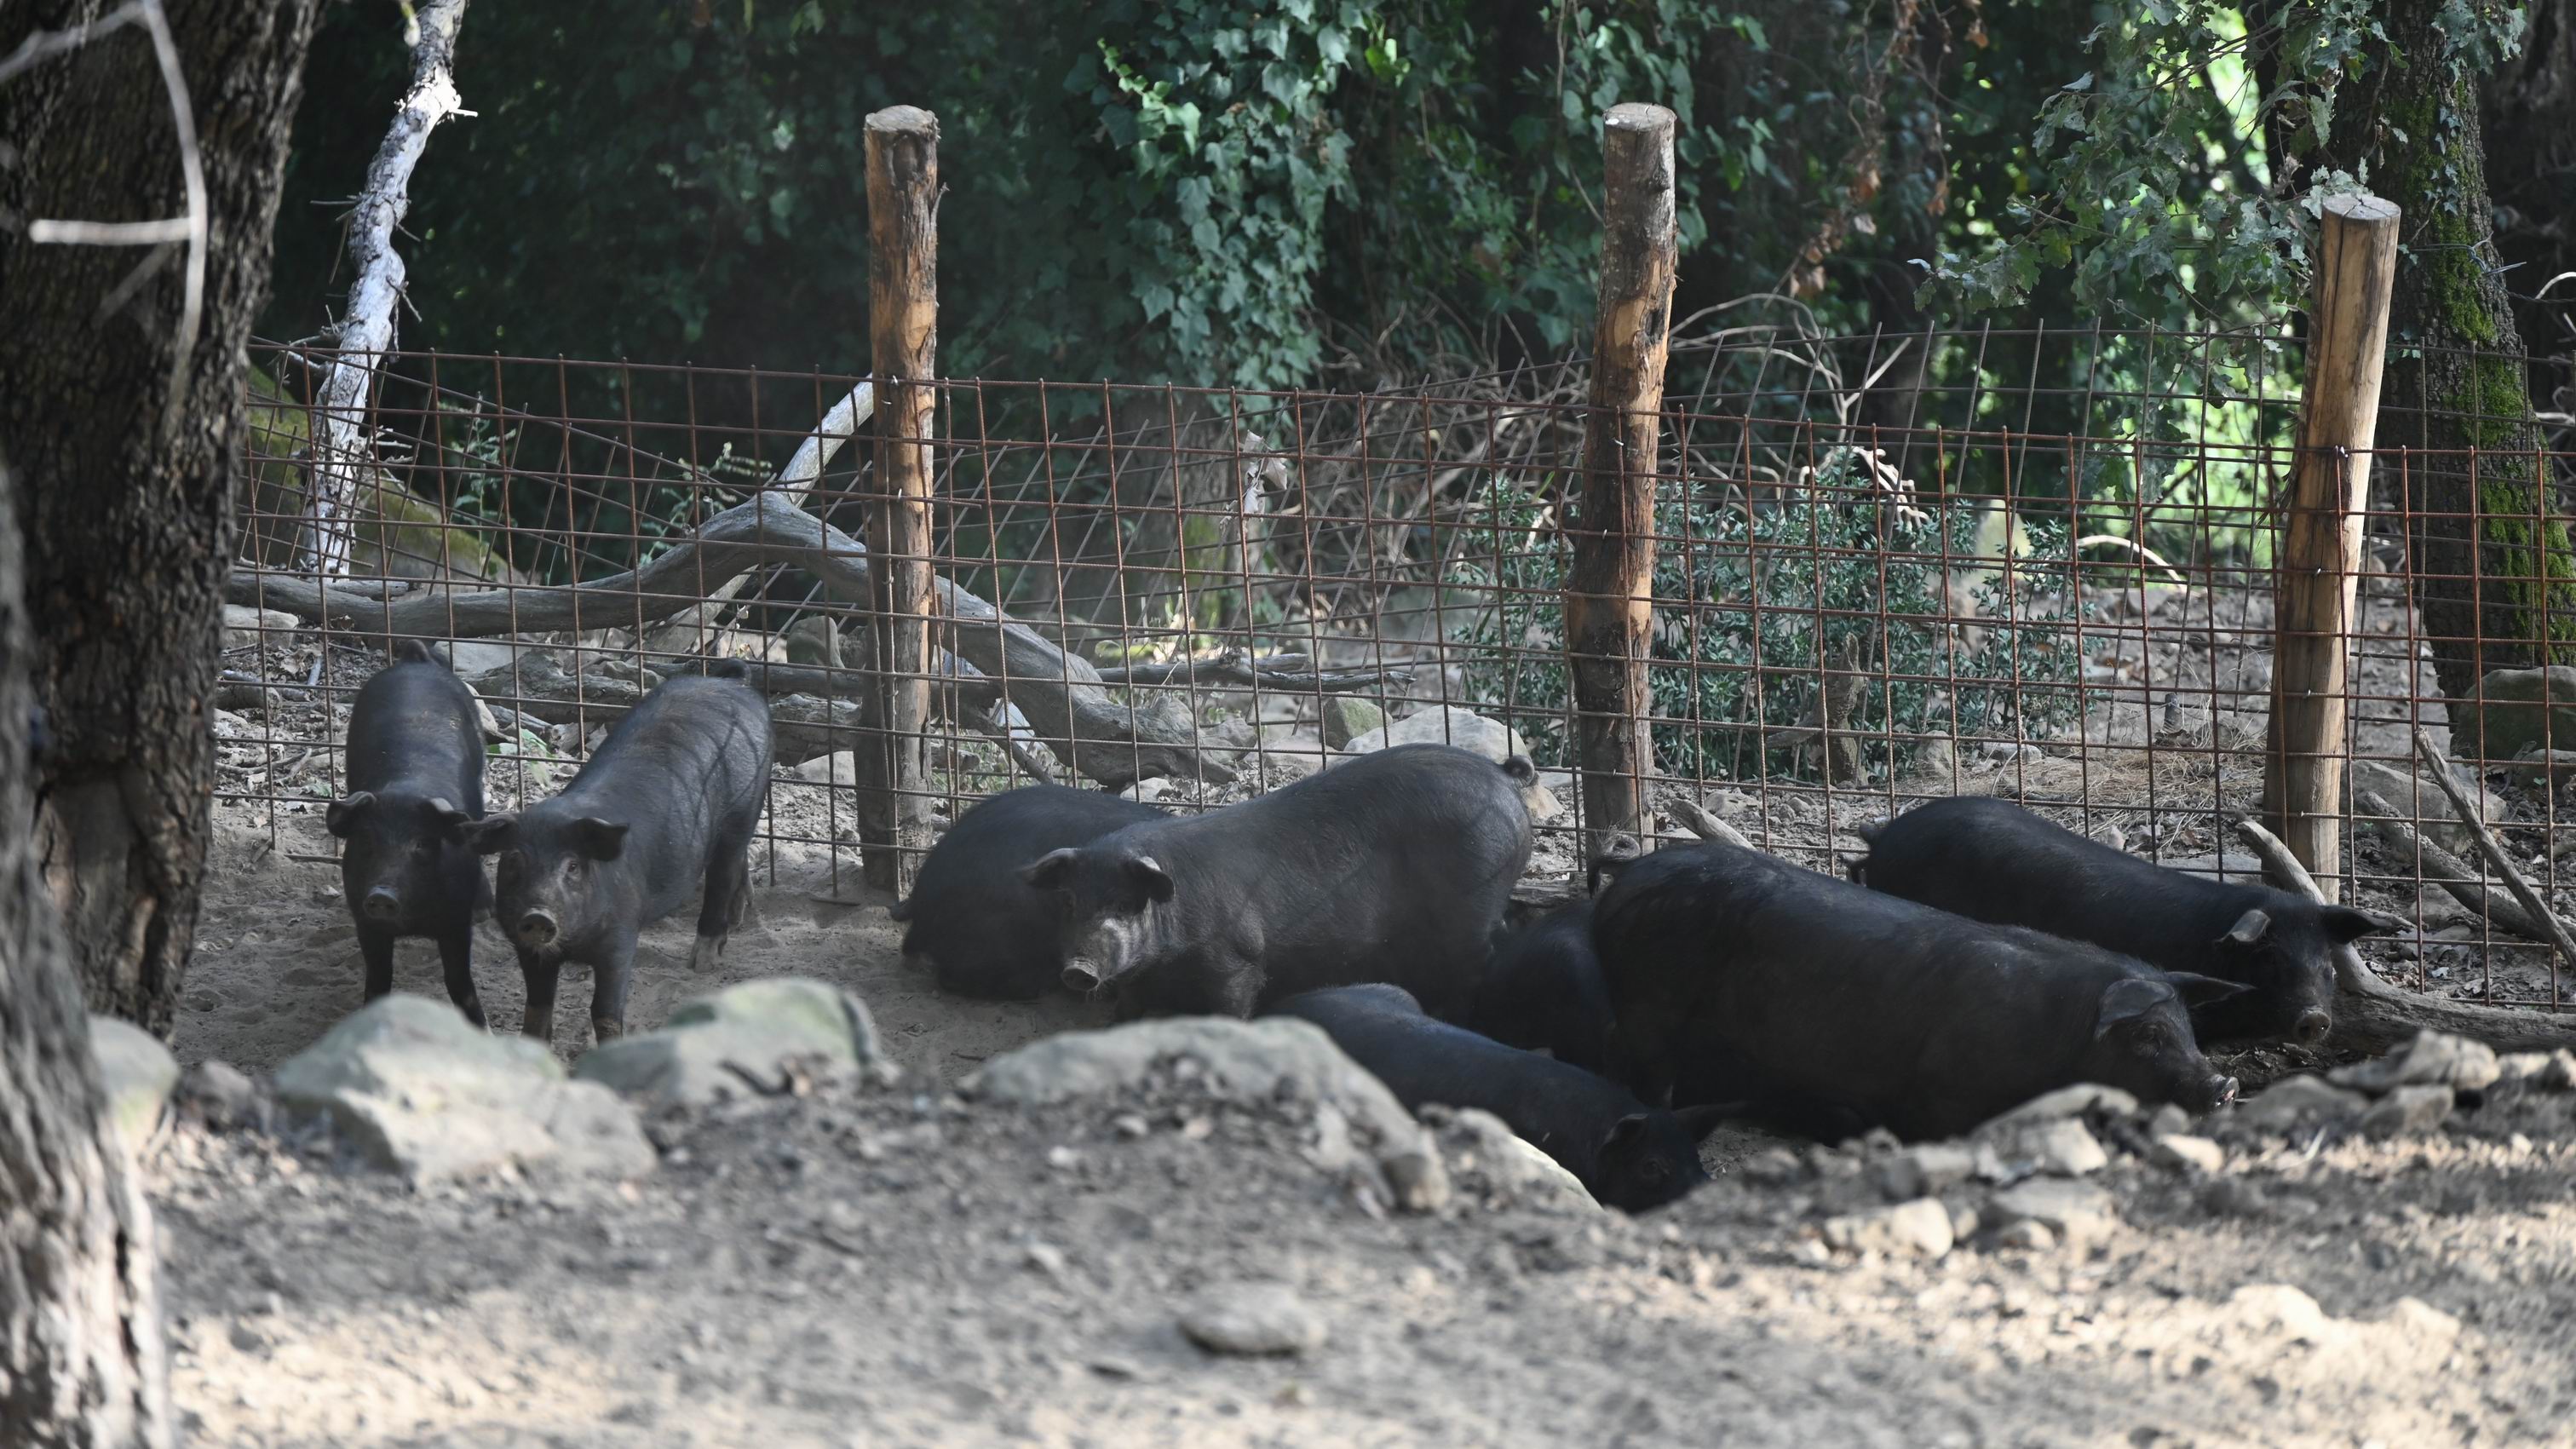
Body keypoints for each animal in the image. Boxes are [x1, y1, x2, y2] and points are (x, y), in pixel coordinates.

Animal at [327, 641, 489, 1023]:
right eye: (366, 840)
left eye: (421, 844)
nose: (382, 894)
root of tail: (414, 661)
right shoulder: (364, 918)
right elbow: (378, 979)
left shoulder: (456, 921)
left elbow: (459, 982)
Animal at [461, 664, 772, 1045]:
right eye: (514, 860)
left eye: (573, 866)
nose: (538, 914)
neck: (571, 944)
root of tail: (732, 682)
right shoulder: (526, 948)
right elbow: (536, 1006)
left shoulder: (620, 935)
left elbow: (605, 1011)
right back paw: (740, 918)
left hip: (745, 806)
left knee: (722, 873)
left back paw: (702, 963)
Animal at [1021, 743, 1535, 1019]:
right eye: (1070, 902)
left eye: (1124, 905)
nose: (1079, 969)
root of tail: (1502, 776)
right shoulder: (1135, 977)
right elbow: (1127, 1006)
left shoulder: (1237, 960)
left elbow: (1232, 1004)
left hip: (1474, 898)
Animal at [1594, 841, 2249, 1141]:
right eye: (2149, 1034)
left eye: (2189, 1028)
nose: (2225, 1083)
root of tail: (1626, 876)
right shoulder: (1944, 1093)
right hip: (1647, 1004)